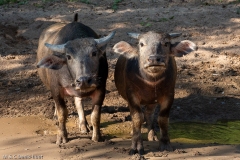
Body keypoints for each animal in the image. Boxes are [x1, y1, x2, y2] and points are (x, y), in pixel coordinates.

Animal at [36, 13, 115, 144]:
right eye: (68, 56)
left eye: (94, 53)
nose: (84, 80)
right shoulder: (56, 89)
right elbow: (63, 113)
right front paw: (62, 137)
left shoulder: (101, 89)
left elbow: (95, 115)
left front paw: (97, 136)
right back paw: (56, 116)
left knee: (78, 101)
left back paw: (83, 124)